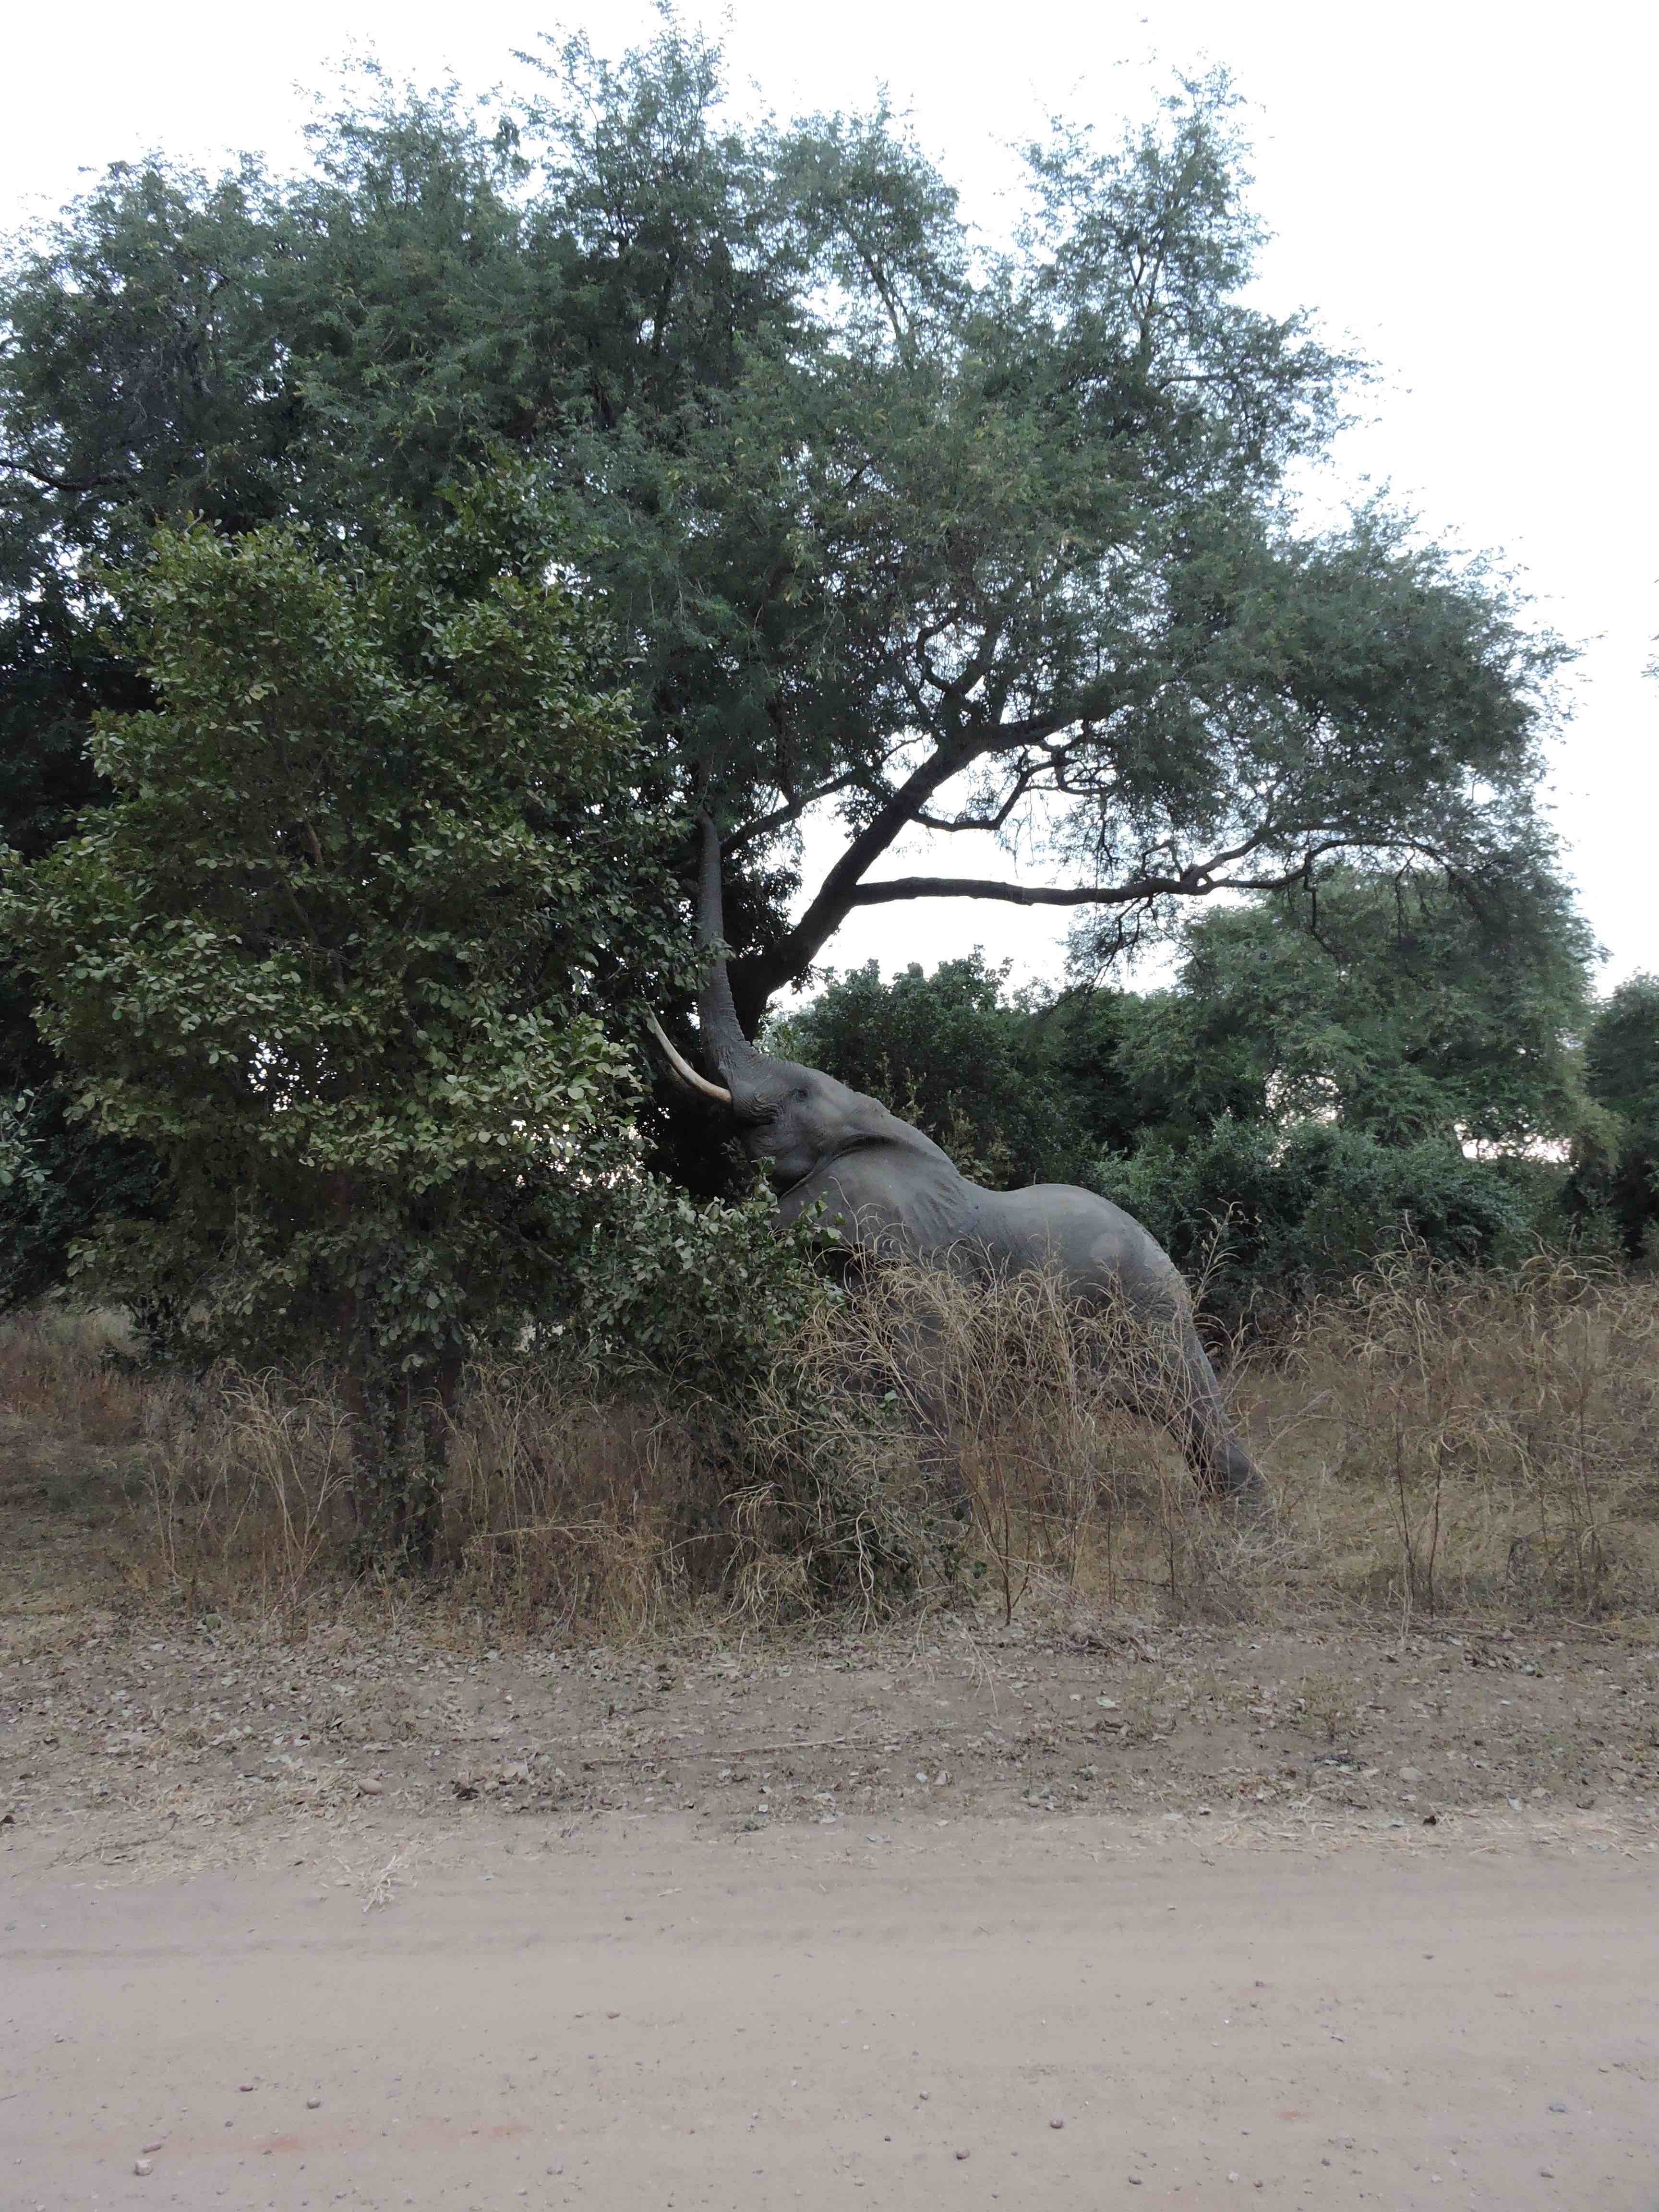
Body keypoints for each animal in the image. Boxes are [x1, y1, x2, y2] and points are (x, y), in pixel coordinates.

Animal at [649, 816, 1263, 1502]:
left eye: (794, 1100)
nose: (705, 821)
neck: (882, 1128)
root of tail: (1169, 1261)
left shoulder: (927, 1273)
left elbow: (920, 1390)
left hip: (1150, 1309)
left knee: (1193, 1409)